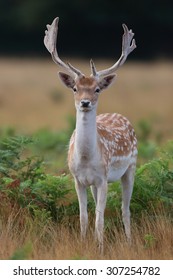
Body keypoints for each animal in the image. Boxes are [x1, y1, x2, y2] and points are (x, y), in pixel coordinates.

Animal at [44, 17, 138, 253]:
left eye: (97, 89)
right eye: (75, 88)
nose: (85, 102)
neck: (86, 159)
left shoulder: (103, 179)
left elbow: (100, 218)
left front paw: (100, 249)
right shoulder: (78, 179)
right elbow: (84, 216)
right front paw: (83, 244)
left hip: (130, 167)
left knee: (125, 209)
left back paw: (129, 242)